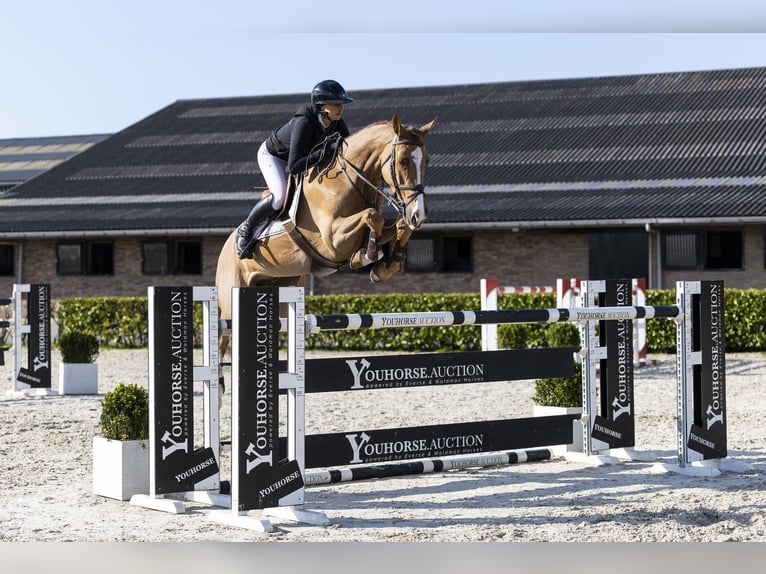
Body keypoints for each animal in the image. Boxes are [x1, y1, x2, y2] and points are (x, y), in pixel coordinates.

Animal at [215, 114, 437, 360]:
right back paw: (243, 240)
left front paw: (385, 266)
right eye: (403, 161)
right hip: (231, 299)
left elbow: (398, 226)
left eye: (427, 160)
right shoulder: (332, 240)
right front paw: (367, 255)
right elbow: (372, 217)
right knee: (223, 340)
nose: (419, 214)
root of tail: (225, 247)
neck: (347, 181)